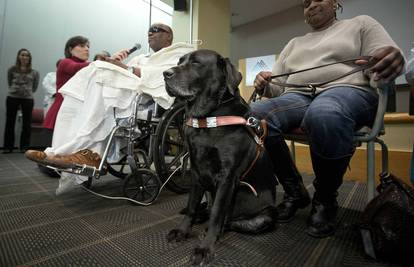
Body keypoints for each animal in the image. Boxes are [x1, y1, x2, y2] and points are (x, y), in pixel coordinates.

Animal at [163, 50, 276, 266]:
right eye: (179, 61)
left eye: (196, 63)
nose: (165, 73)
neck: (208, 118)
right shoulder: (196, 172)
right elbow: (191, 205)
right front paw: (182, 230)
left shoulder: (227, 177)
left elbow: (217, 214)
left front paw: (205, 248)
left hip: (265, 217)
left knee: (228, 220)